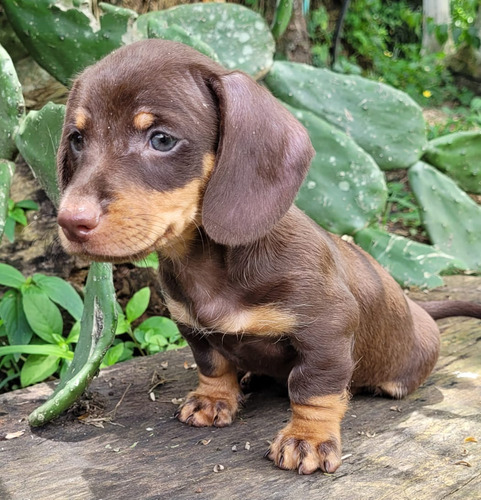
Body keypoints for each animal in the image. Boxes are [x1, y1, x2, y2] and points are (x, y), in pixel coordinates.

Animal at [57, 41, 480, 474]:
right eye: (77, 138)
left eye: (161, 139)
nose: (70, 221)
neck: (208, 265)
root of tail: (419, 310)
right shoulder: (193, 328)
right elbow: (213, 365)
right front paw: (214, 399)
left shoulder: (327, 332)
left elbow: (313, 389)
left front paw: (307, 438)